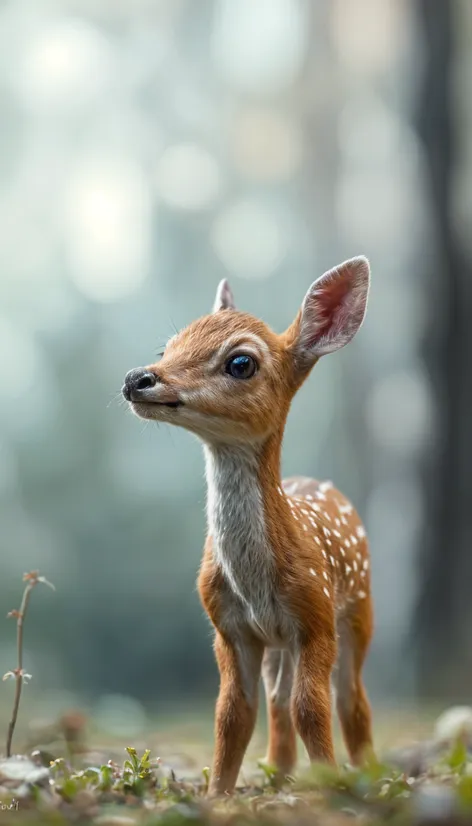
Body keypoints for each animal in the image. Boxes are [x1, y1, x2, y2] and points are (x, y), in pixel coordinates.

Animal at [123, 256, 374, 792]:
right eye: (167, 348)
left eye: (241, 363)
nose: (138, 378)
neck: (257, 582)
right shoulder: (229, 627)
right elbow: (232, 713)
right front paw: (219, 794)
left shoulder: (316, 617)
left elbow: (311, 709)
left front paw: (330, 787)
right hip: (279, 644)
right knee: (277, 701)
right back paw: (278, 774)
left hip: (359, 607)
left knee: (351, 698)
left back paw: (368, 771)